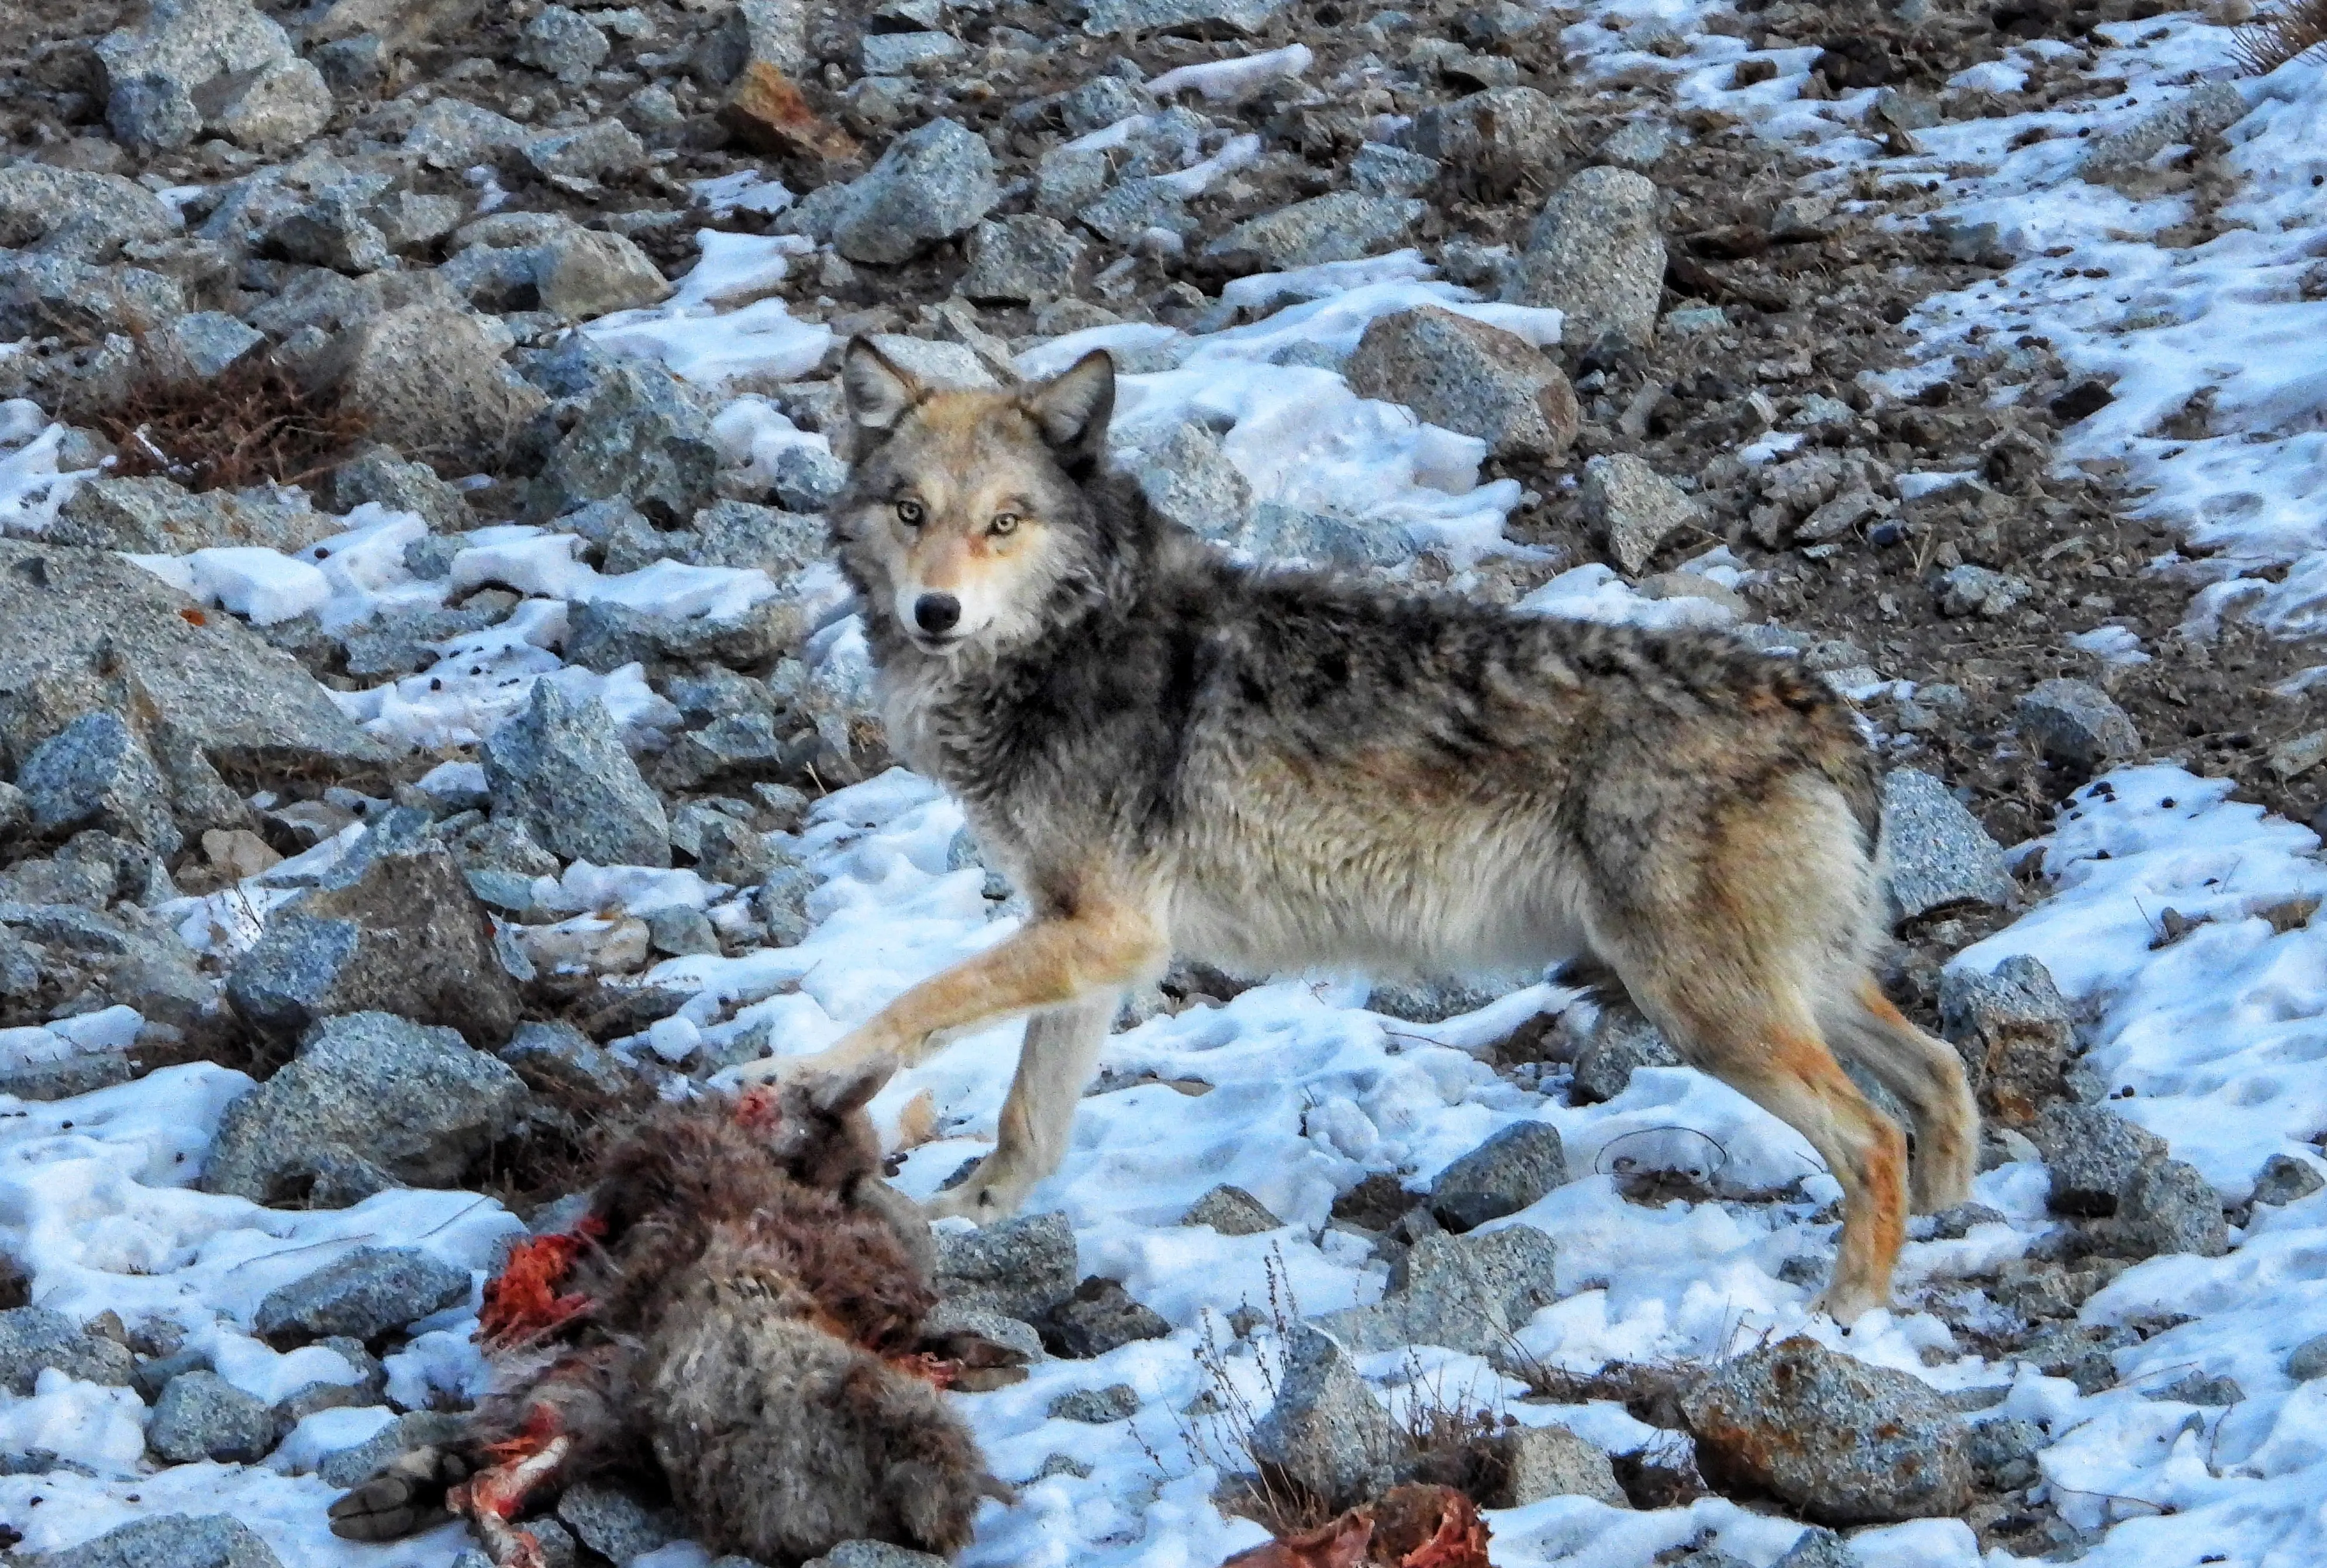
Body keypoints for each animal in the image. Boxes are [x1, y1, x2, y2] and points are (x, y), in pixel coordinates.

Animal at [738, 337, 1979, 1325]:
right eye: (910, 512)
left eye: (1004, 522)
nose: (933, 611)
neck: (1068, 638)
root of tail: (1824, 710)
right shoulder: (1088, 941)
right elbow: (1025, 1118)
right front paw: (971, 1214)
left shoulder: (1106, 933)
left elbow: (913, 1005)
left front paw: (801, 1073)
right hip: (1783, 986)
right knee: (1937, 1070)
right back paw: (1950, 1214)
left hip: (1700, 1008)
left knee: (1869, 1135)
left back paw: (1844, 1315)